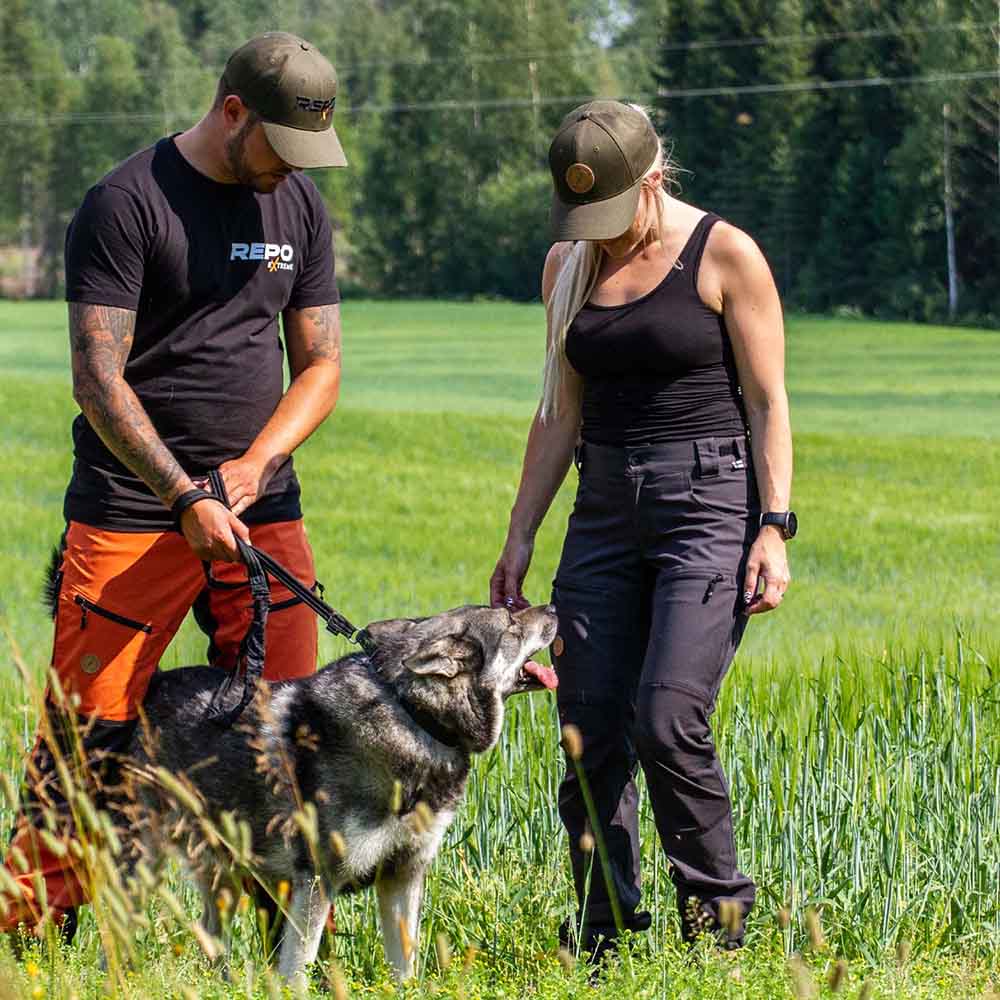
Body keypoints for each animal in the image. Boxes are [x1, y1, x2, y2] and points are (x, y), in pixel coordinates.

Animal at [124, 600, 560, 984]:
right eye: (511, 621)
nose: (554, 607)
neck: (413, 714)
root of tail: (153, 685)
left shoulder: (403, 874)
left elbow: (405, 965)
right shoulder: (317, 881)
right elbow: (298, 968)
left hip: (224, 871)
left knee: (210, 934)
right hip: (142, 859)